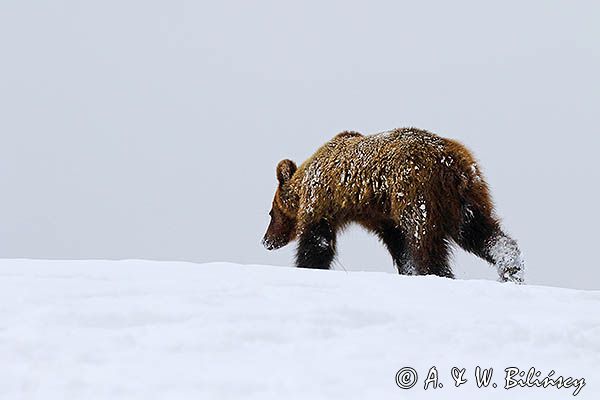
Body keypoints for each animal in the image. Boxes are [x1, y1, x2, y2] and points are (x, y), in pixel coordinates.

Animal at [262, 126, 524, 282]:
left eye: (270, 213)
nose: (266, 240)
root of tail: (452, 163)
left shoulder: (322, 202)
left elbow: (317, 242)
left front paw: (307, 267)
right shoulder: (382, 215)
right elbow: (399, 245)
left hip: (418, 194)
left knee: (424, 241)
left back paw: (436, 273)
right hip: (465, 199)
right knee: (480, 231)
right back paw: (511, 269)